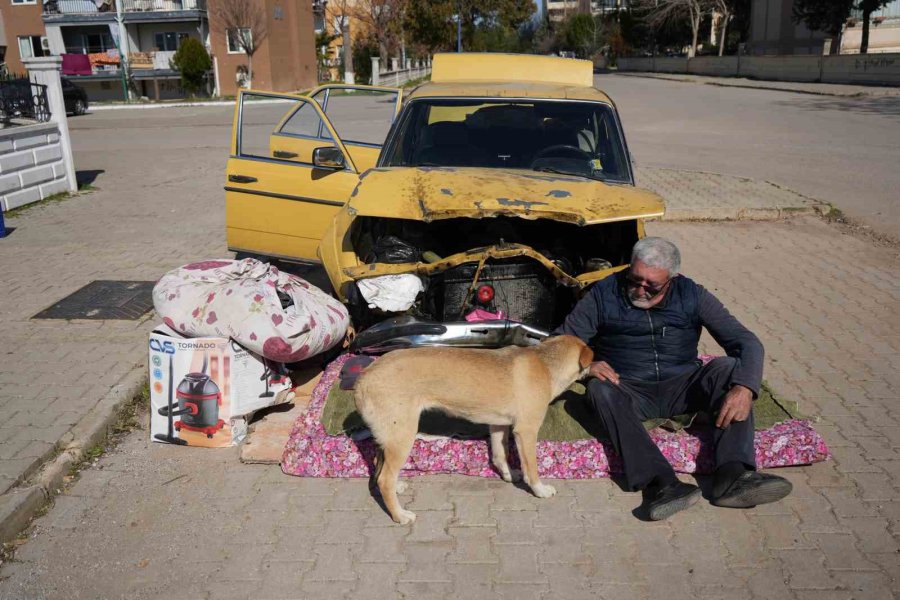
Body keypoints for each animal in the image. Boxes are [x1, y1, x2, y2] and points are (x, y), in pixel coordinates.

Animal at [354, 336, 596, 524]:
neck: (546, 363)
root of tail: (363, 377)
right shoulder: (526, 431)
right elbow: (532, 469)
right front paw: (540, 490)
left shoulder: (498, 425)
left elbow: (500, 455)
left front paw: (508, 474)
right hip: (403, 435)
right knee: (384, 479)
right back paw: (400, 515)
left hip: (389, 437)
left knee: (379, 467)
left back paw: (398, 487)